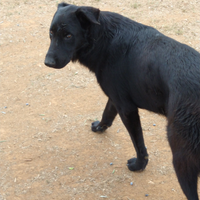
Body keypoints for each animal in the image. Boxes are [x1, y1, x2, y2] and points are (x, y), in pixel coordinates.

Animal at [44, 2, 200, 198]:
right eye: (51, 33)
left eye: (68, 35)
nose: (47, 62)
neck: (103, 39)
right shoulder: (115, 97)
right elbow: (107, 113)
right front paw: (100, 127)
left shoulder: (127, 109)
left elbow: (138, 143)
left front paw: (139, 165)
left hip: (181, 156)